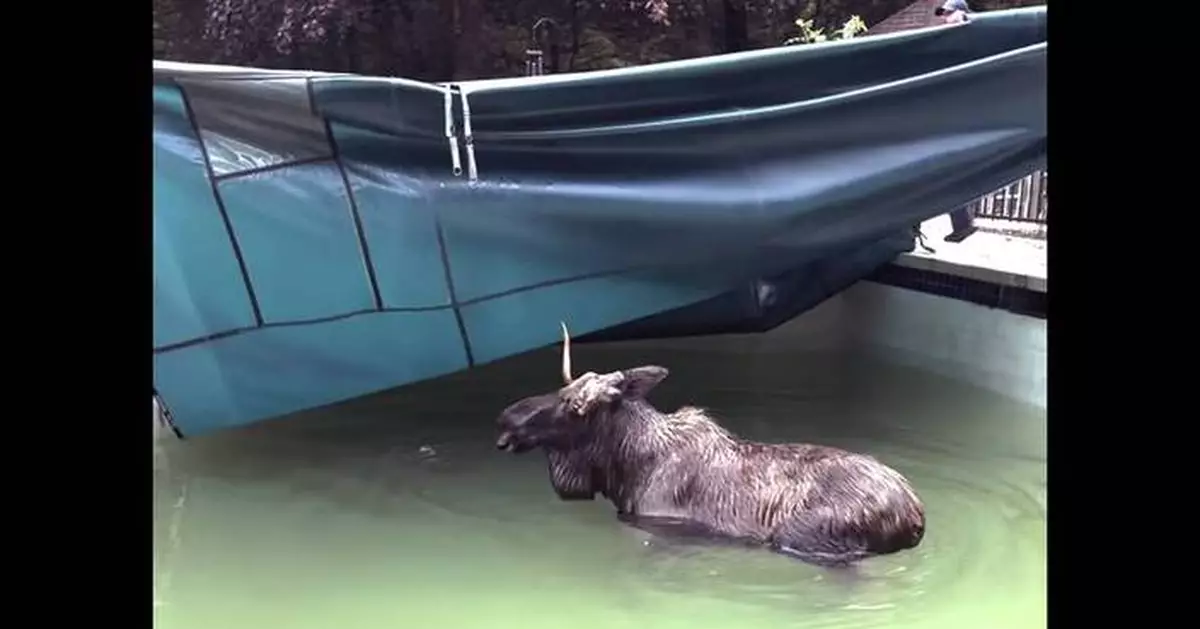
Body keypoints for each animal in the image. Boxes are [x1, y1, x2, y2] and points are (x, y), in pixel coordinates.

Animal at [492, 324, 921, 564]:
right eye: (563, 390)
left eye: (574, 405)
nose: (507, 419)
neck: (623, 468)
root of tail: (916, 517)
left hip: (806, 541)